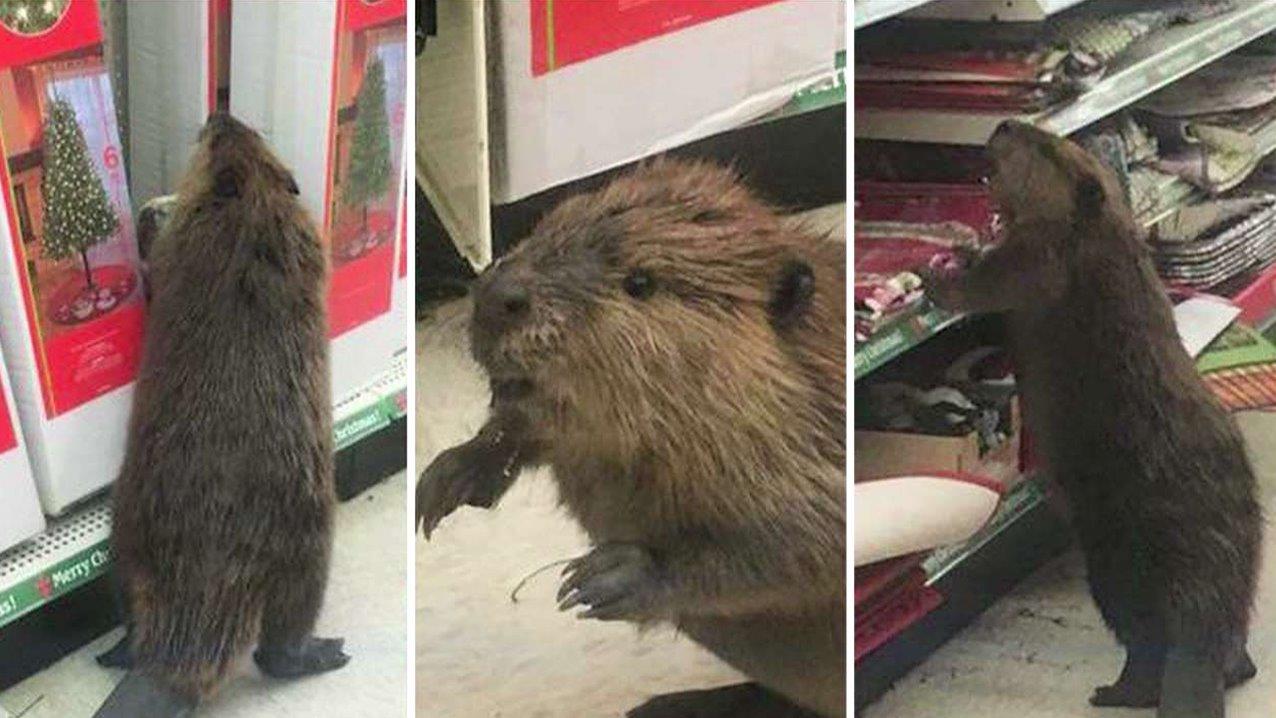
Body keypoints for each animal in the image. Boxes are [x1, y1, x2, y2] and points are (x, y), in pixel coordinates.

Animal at [91, 113, 349, 718]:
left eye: (227, 133)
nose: (219, 116)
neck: (249, 210)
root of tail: (173, 664)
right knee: (275, 647)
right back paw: (329, 651)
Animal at [418, 160, 852, 718]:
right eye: (553, 221)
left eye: (641, 281)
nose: (498, 297)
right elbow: (525, 427)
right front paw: (445, 480)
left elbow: (808, 541)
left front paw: (604, 577)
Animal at [923, 119, 1260, 718]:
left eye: (1042, 145)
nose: (1002, 125)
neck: (1100, 231)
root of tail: (1201, 624)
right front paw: (961, 243)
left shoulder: (1042, 256)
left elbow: (988, 285)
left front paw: (936, 273)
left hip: (1114, 568)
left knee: (1143, 648)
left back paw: (1111, 692)